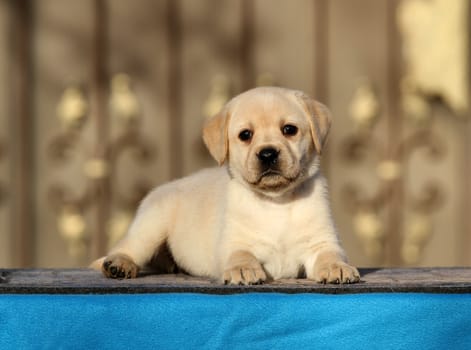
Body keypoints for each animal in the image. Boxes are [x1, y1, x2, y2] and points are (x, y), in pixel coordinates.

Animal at [95, 87, 362, 284]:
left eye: (289, 130)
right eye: (245, 135)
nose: (267, 154)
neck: (276, 202)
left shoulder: (322, 240)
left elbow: (330, 254)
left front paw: (338, 267)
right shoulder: (232, 243)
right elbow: (240, 255)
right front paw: (243, 270)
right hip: (151, 226)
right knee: (128, 248)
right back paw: (118, 264)